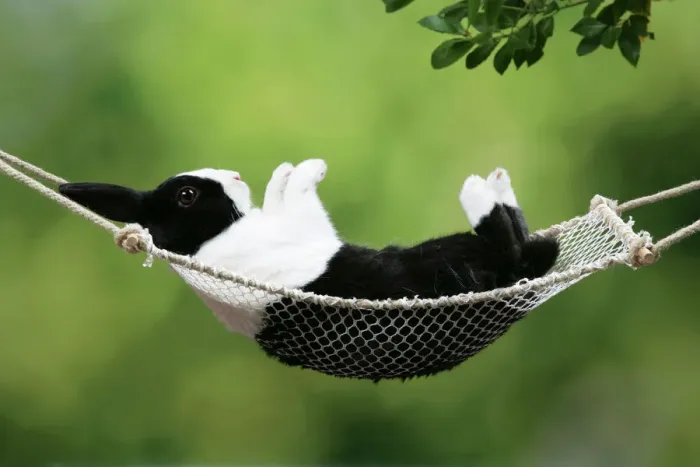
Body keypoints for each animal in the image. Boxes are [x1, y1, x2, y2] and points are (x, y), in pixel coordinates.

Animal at [58, 160, 559, 336]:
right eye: (187, 195)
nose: (236, 175)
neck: (202, 246)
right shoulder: (305, 236)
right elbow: (300, 197)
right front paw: (309, 168)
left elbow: (281, 189)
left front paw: (283, 170)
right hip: (449, 264)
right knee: (511, 245)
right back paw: (482, 189)